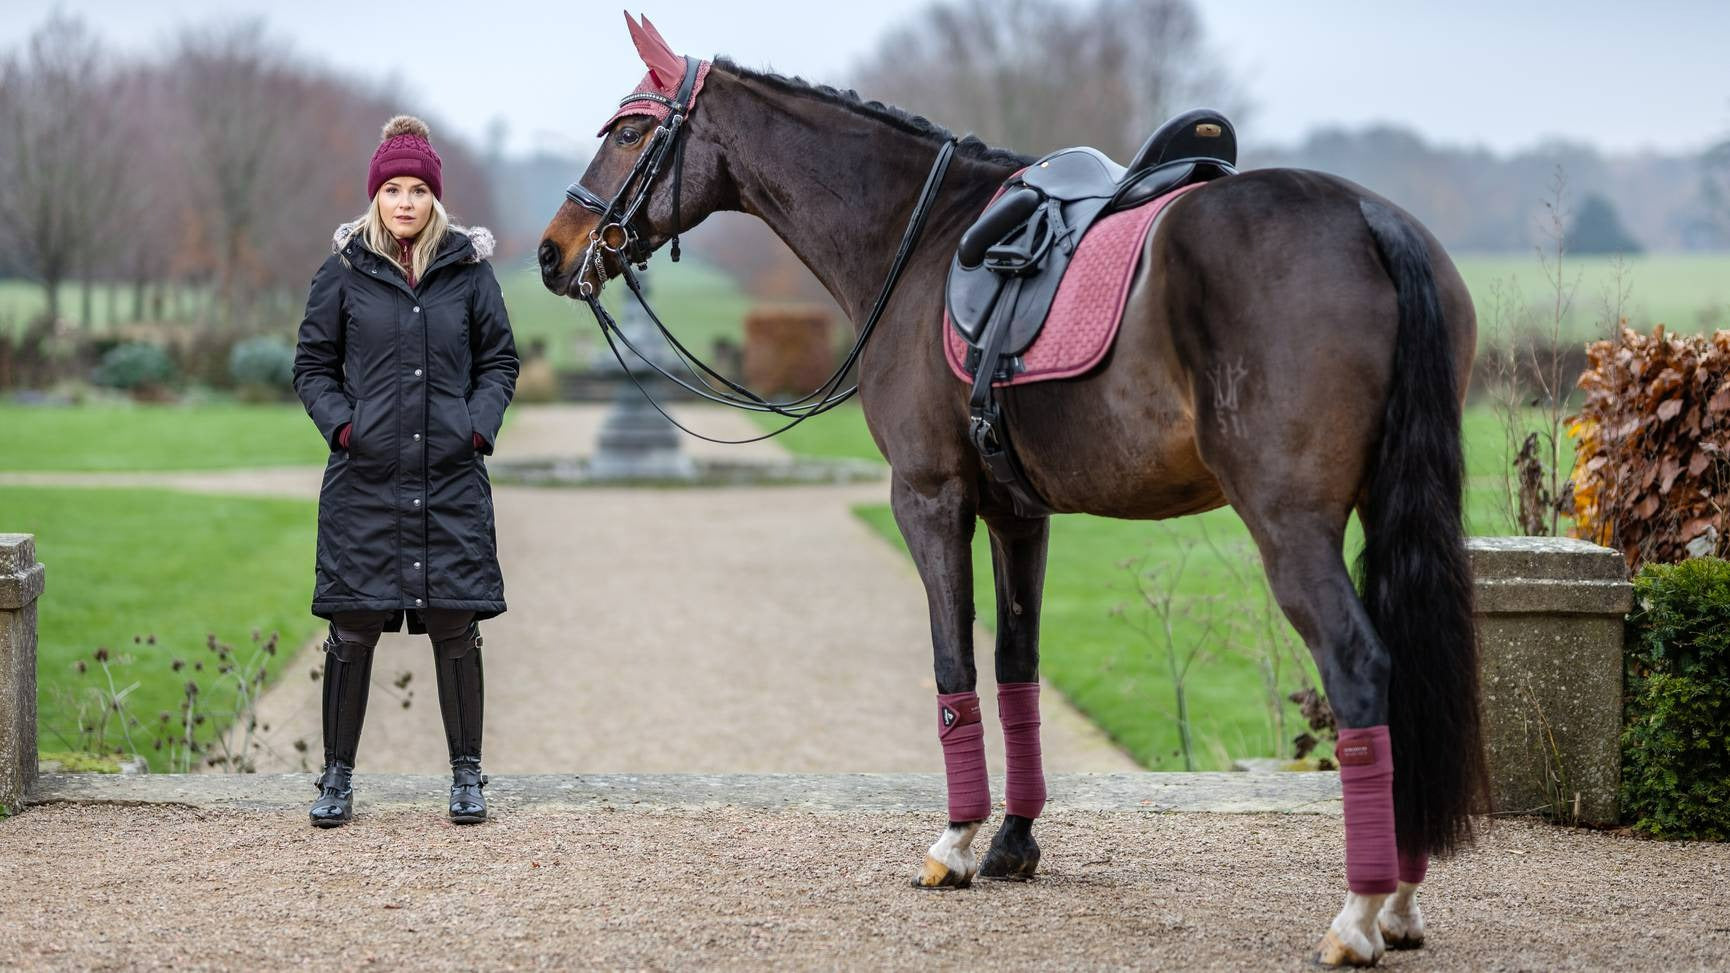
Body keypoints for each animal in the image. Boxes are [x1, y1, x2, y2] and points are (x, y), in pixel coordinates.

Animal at [539, 15, 1487, 962]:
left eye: (629, 134)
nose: (553, 252)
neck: (919, 238)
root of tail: (1369, 218)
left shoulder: (927, 498)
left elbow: (952, 665)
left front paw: (956, 840)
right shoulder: (1019, 516)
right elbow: (1016, 669)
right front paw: (1014, 839)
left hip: (1289, 525)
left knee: (1360, 666)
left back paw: (1360, 912)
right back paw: (1400, 899)